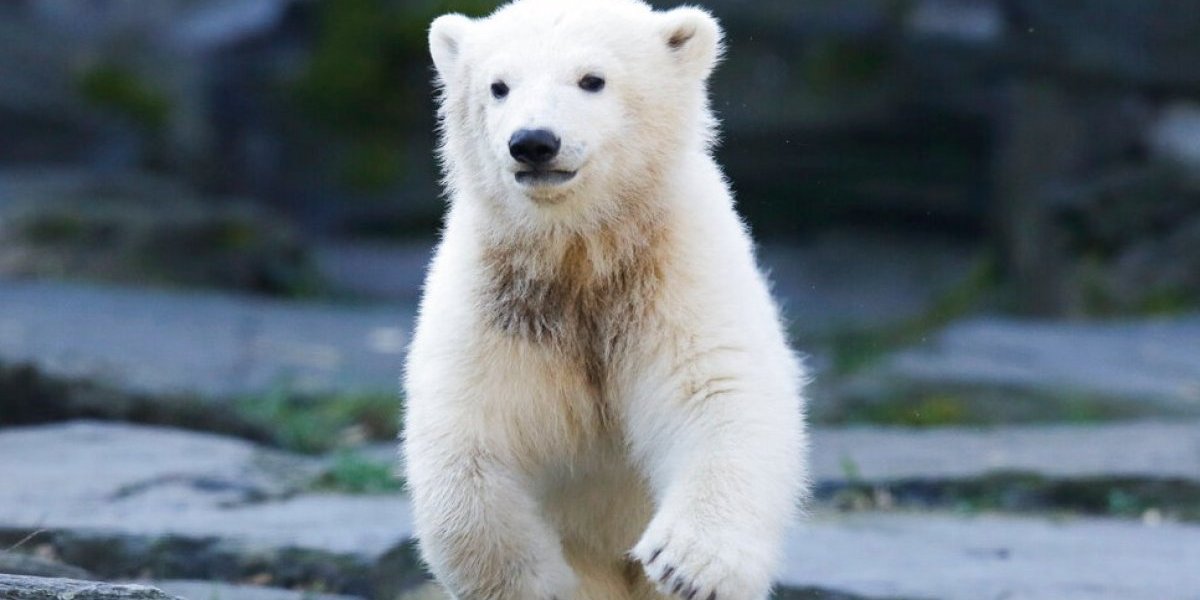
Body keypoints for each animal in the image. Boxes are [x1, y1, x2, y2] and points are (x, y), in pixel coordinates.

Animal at [400, 0, 806, 597]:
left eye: (592, 79)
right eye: (498, 86)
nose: (534, 142)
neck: (581, 250)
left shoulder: (677, 270)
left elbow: (716, 393)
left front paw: (685, 565)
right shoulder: (498, 298)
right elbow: (467, 435)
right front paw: (538, 579)